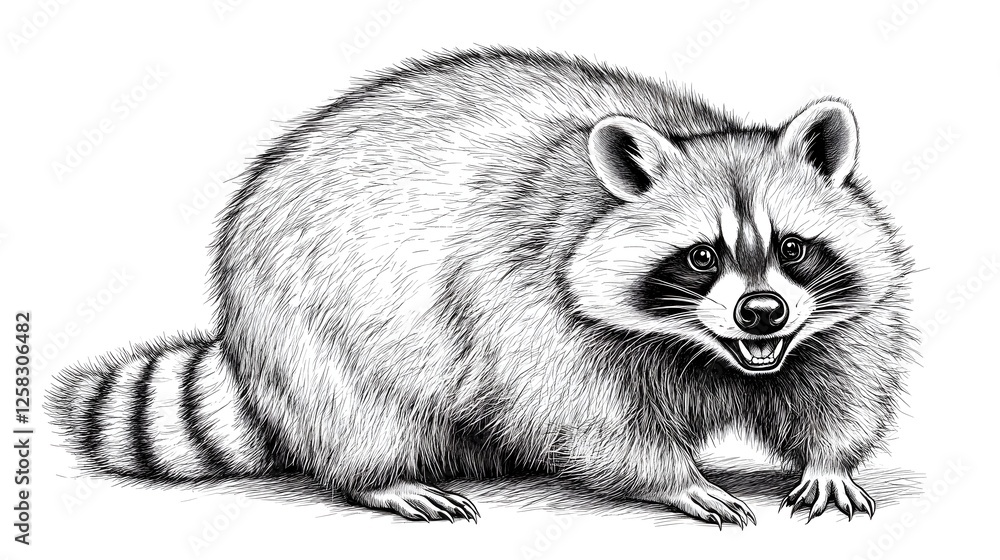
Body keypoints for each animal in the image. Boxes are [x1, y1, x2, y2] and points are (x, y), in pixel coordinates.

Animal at [48, 47, 915, 527]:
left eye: (792, 248)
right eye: (701, 257)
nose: (760, 310)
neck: (711, 351)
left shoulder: (833, 320)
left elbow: (841, 380)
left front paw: (830, 461)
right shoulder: (530, 306)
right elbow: (588, 421)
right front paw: (673, 479)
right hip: (307, 332)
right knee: (356, 416)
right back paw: (383, 479)